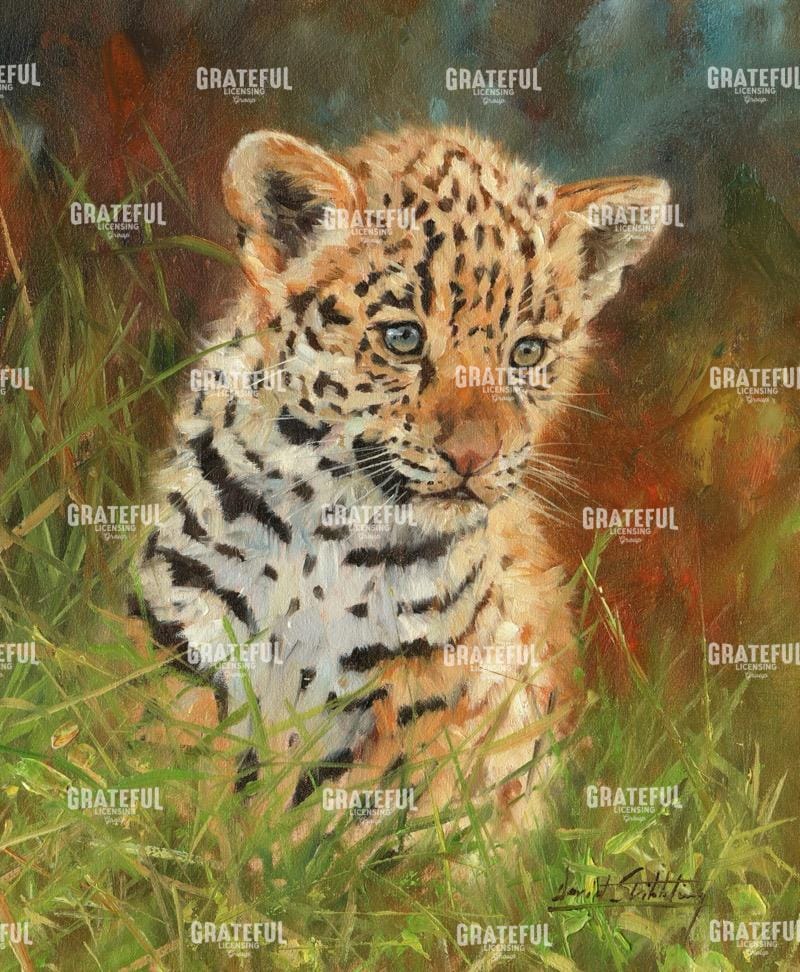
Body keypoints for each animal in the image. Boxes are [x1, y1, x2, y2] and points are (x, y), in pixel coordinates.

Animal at [132, 124, 670, 829]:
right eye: (404, 338)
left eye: (526, 352)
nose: (474, 457)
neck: (326, 523)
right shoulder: (191, 640)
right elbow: (178, 777)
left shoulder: (411, 694)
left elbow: (343, 822)